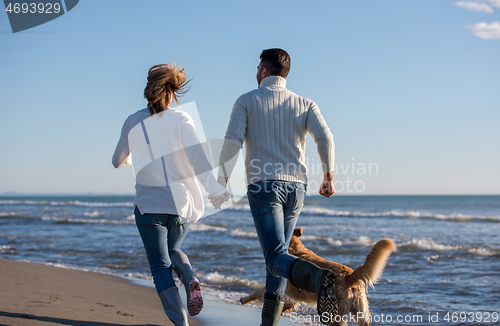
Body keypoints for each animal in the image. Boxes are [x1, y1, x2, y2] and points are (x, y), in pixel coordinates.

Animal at [240, 228, 396, 324]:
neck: (295, 249)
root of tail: (350, 276)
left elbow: (258, 292)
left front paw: (244, 299)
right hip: (361, 313)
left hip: (333, 313)